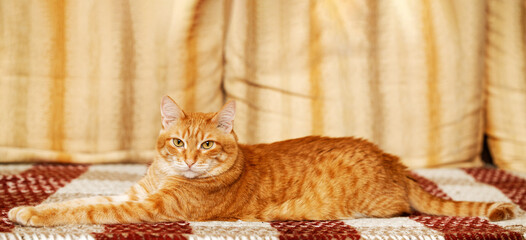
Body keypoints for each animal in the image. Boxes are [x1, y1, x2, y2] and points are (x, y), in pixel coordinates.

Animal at [8, 96, 520, 227]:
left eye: (206, 145)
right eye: (178, 142)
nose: (189, 160)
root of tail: (393, 162)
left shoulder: (148, 208)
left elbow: (86, 208)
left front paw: (32, 215)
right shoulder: (134, 193)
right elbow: (81, 198)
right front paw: (27, 207)